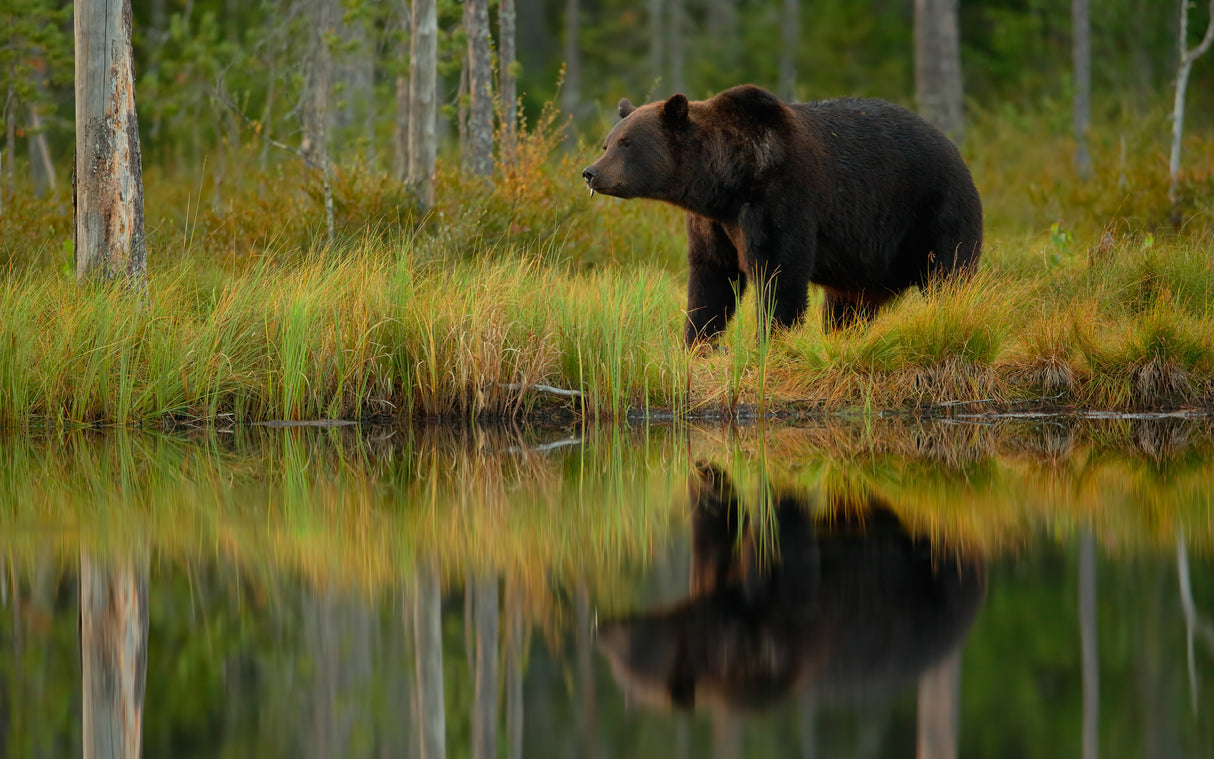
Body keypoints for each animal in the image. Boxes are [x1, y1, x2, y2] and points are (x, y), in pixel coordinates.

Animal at [580, 85, 985, 342]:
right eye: (607, 143)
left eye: (627, 143)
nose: (591, 172)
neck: (726, 182)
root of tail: (957, 151)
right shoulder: (713, 224)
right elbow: (711, 281)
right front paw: (697, 342)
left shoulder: (781, 200)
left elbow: (779, 274)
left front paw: (770, 342)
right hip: (863, 265)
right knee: (846, 307)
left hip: (935, 211)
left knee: (949, 275)